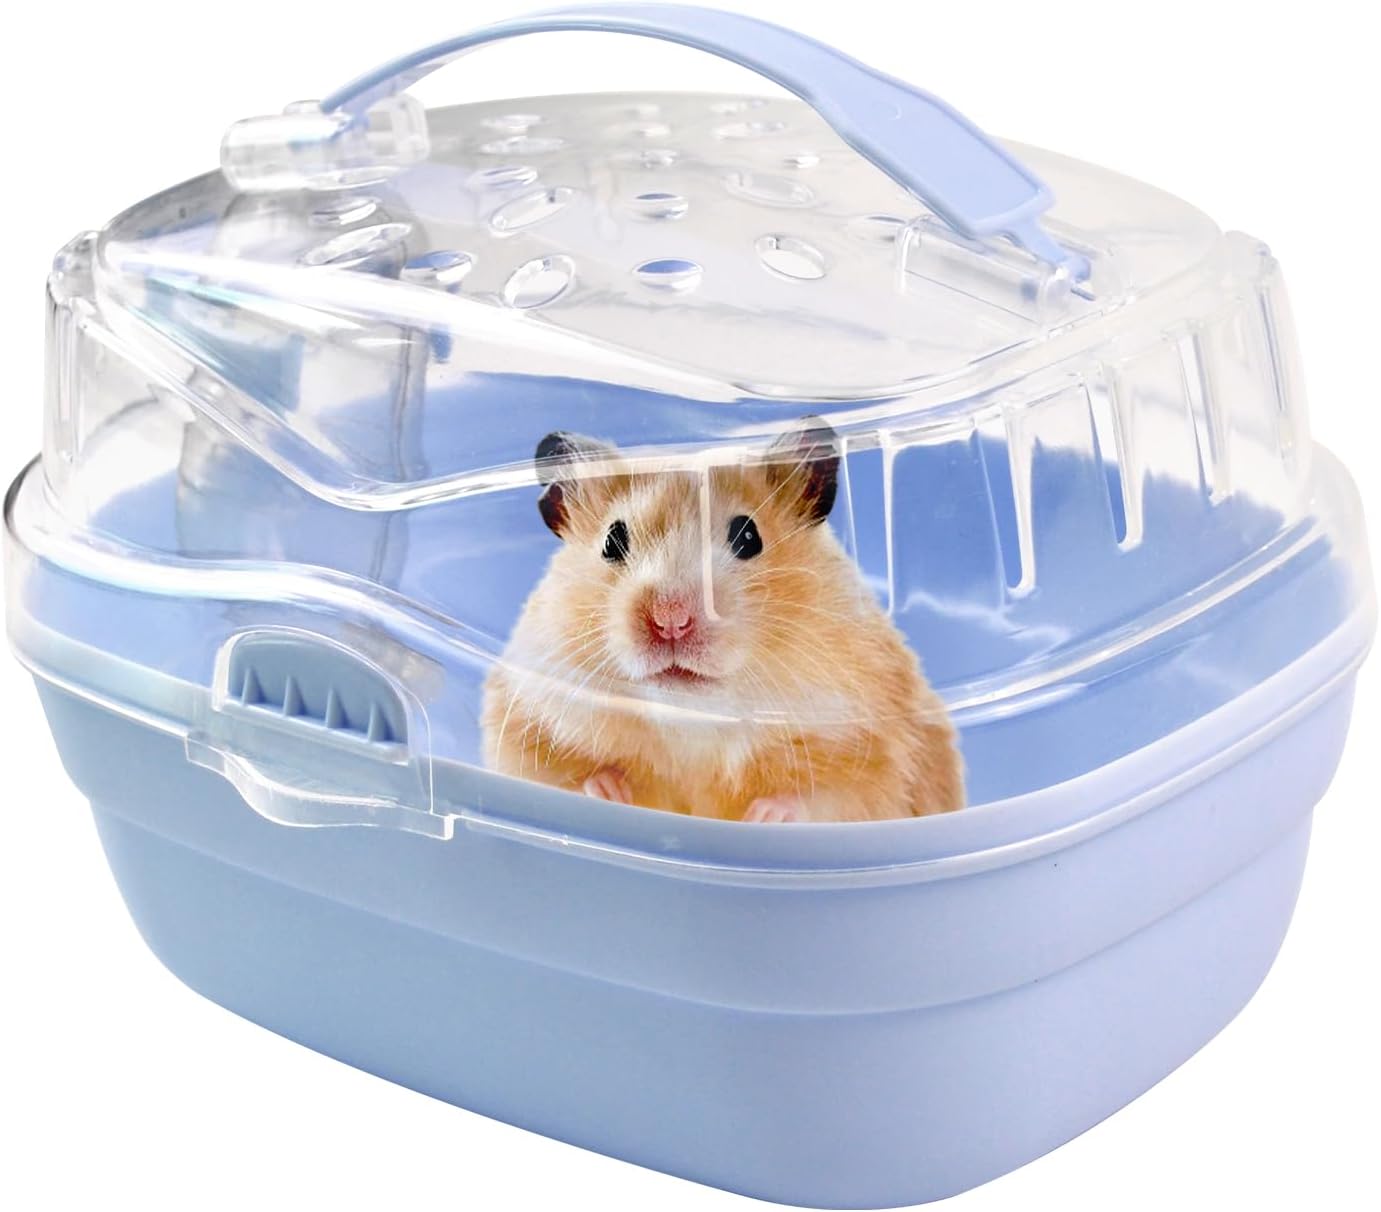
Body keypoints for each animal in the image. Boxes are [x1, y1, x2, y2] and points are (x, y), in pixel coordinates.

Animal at [480, 420, 964, 822]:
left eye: (748, 536)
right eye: (612, 540)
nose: (670, 620)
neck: (695, 724)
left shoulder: (873, 748)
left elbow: (828, 799)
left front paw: (765, 816)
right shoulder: (523, 718)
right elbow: (564, 775)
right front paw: (609, 790)